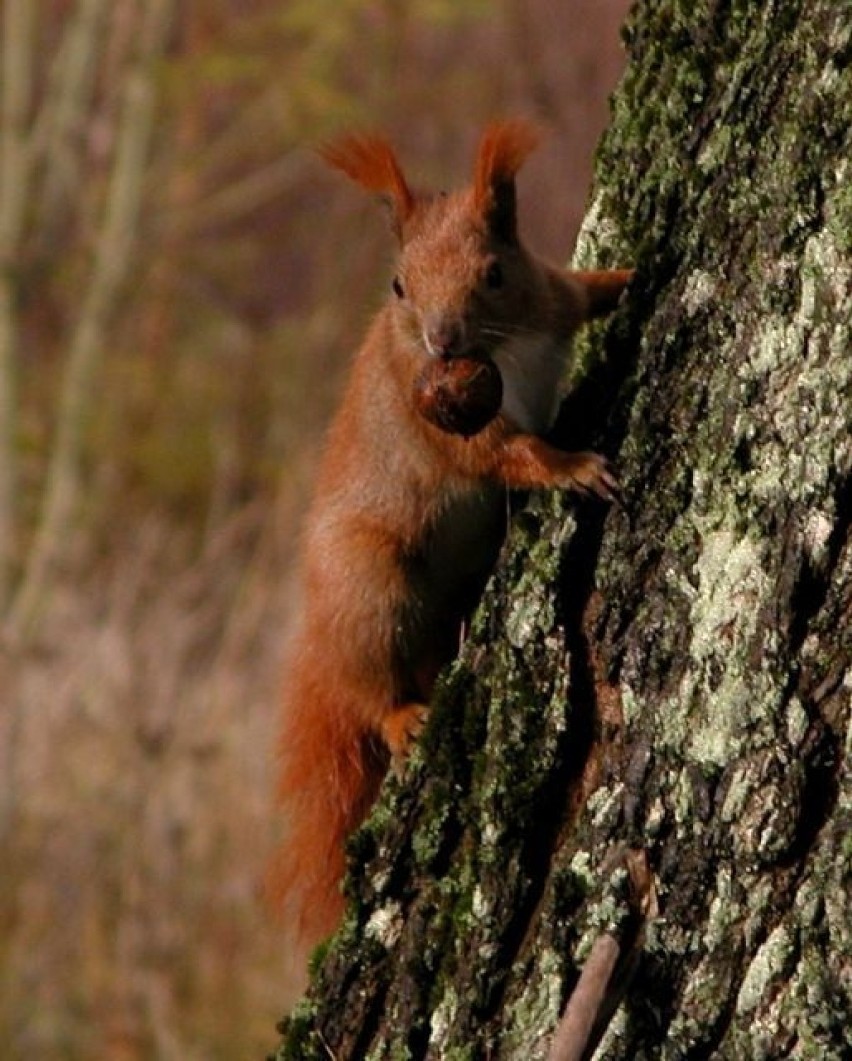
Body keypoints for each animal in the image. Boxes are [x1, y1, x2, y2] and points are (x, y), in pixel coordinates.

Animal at [273, 120, 632, 971]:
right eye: (398, 285)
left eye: (495, 271)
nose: (443, 342)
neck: (505, 348)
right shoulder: (439, 417)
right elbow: (509, 454)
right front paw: (574, 467)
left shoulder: (550, 295)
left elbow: (587, 290)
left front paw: (633, 273)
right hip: (370, 582)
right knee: (368, 686)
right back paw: (401, 714)